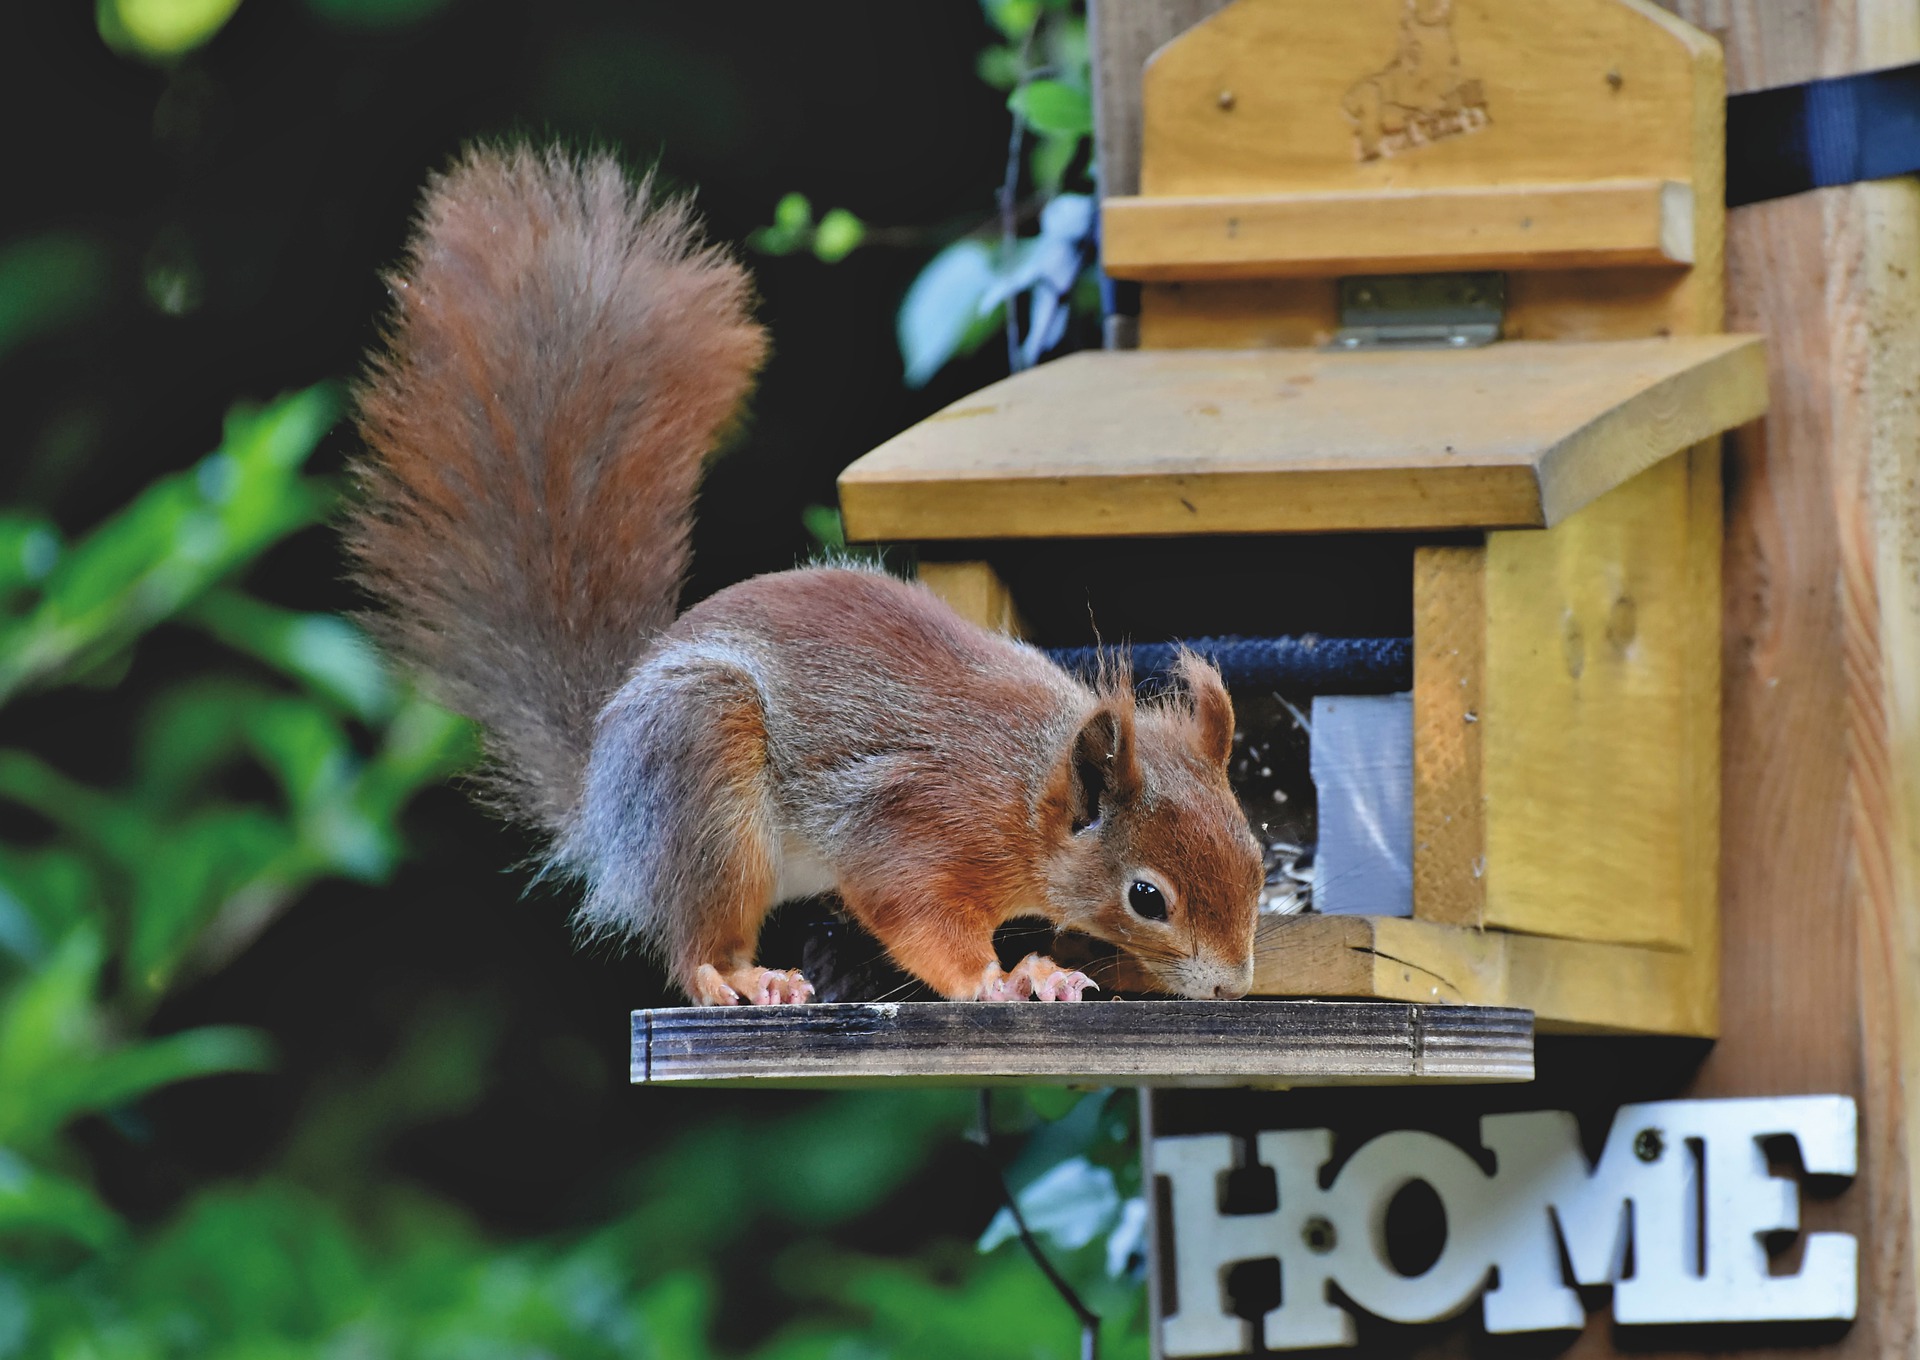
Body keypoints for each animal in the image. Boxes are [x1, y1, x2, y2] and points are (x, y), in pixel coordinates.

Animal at [351, 143, 1267, 1006]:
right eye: (1147, 896)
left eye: (1259, 858)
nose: (1233, 987)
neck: (1024, 786)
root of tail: (601, 804)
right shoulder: (913, 825)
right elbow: (912, 913)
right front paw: (1001, 979)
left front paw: (1049, 969)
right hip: (703, 784)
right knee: (694, 947)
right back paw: (744, 980)